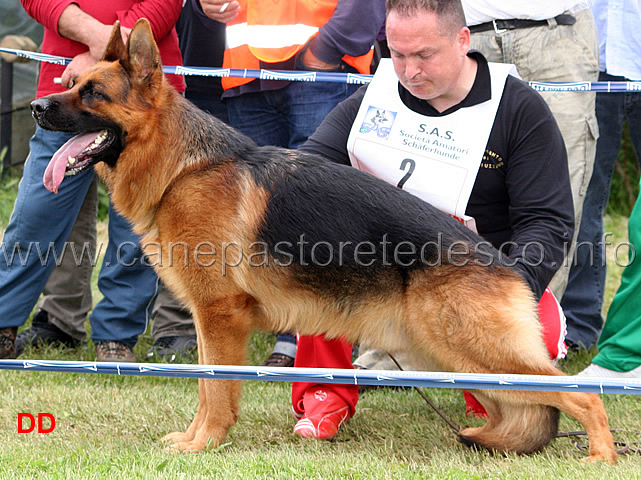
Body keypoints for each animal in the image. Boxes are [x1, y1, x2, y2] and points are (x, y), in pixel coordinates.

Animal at [31, 19, 616, 464]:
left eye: (93, 94)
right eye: (74, 83)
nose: (37, 107)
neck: (184, 167)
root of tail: (505, 266)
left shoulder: (219, 315)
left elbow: (216, 389)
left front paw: (204, 445)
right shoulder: (207, 318)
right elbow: (204, 385)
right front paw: (196, 439)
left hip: (473, 350)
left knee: (581, 395)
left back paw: (602, 456)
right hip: (452, 357)